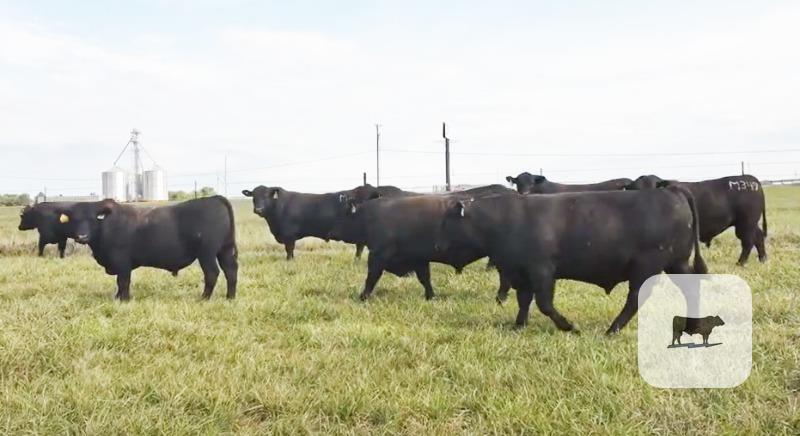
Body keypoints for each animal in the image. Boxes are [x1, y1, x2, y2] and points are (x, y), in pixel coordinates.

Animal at [54, 196, 237, 300]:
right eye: (74, 220)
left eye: (93, 219)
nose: (82, 236)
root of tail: (214, 198)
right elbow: (120, 283)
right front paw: (117, 297)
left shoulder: (122, 262)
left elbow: (123, 281)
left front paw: (124, 299)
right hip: (225, 249)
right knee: (231, 271)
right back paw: (230, 297)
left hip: (206, 253)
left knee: (212, 273)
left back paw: (204, 298)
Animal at [328, 192, 515, 301]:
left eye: (343, 216)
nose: (332, 232)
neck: (370, 215)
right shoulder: (419, 259)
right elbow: (425, 279)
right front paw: (431, 297)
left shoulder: (378, 255)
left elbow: (371, 277)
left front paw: (363, 297)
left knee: (505, 279)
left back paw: (500, 299)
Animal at [435, 186, 707, 334]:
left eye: (448, 222)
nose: (438, 246)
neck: (506, 218)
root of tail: (670, 190)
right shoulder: (521, 273)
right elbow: (524, 301)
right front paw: (519, 325)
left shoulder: (542, 270)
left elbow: (544, 303)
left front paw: (569, 326)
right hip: (676, 263)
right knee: (691, 288)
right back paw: (692, 326)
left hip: (647, 267)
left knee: (635, 298)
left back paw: (613, 329)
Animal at [627, 175, 767, 265]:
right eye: (634, 190)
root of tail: (752, 180)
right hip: (750, 224)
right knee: (758, 237)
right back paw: (763, 259)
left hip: (746, 223)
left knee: (748, 241)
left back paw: (740, 263)